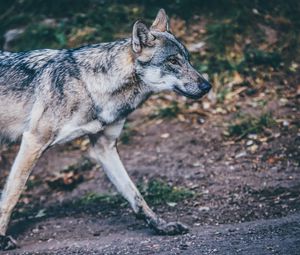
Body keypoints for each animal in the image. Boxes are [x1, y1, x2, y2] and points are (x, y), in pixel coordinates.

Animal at [0, 8, 211, 250]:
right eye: (173, 61)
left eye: (188, 59)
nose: (207, 86)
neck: (90, 86)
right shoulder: (33, 140)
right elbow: (11, 196)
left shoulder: (104, 147)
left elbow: (135, 195)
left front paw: (161, 226)